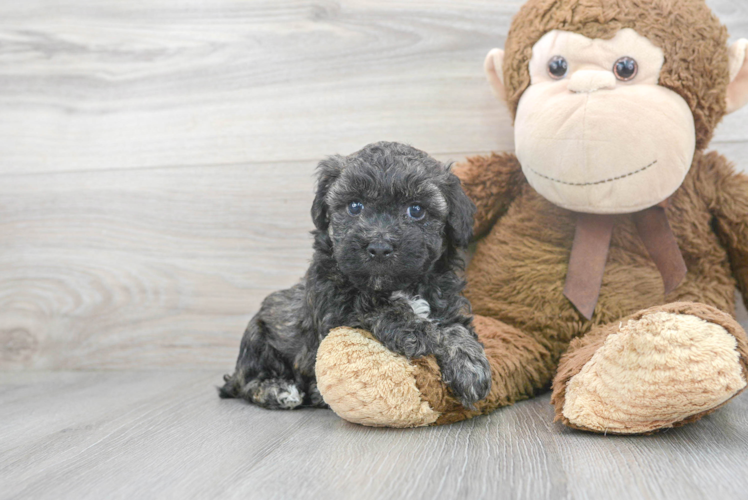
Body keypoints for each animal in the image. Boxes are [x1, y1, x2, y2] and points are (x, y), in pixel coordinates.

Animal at [219, 141, 494, 410]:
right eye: (354, 206)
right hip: (258, 338)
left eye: (416, 210)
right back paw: (278, 390)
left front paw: (470, 364)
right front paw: (418, 330)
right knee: (246, 383)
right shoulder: (335, 310)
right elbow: (375, 308)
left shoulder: (446, 304)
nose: (379, 247)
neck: (397, 286)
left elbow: (455, 328)